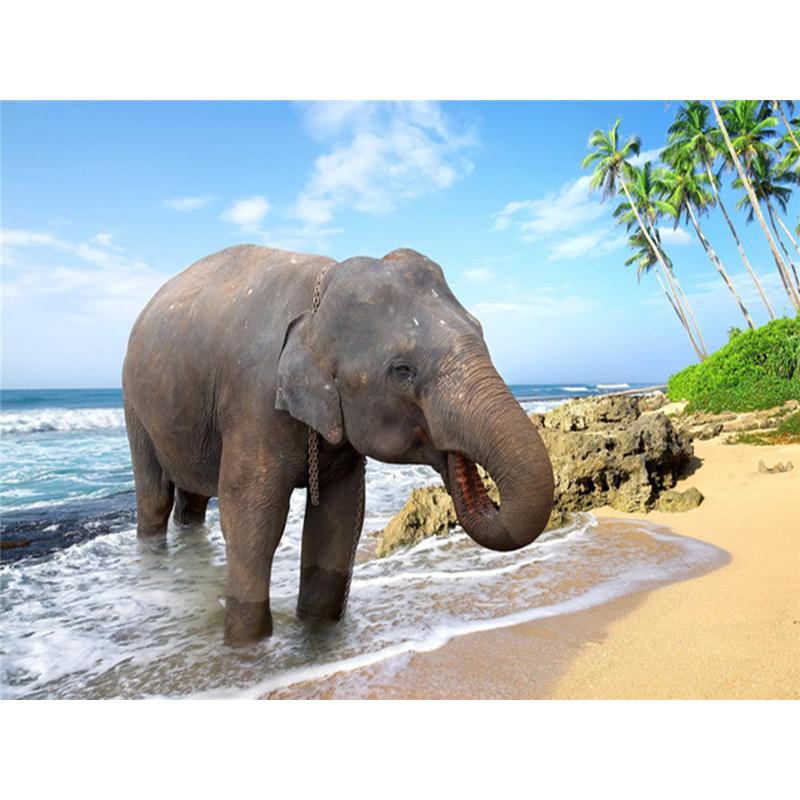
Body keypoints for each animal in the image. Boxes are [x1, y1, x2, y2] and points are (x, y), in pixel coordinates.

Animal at [122, 245, 554, 644]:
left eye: (481, 332)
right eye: (403, 370)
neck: (320, 297)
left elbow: (338, 521)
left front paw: (316, 632)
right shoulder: (253, 400)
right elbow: (251, 520)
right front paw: (247, 647)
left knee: (193, 500)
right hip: (134, 406)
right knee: (155, 496)